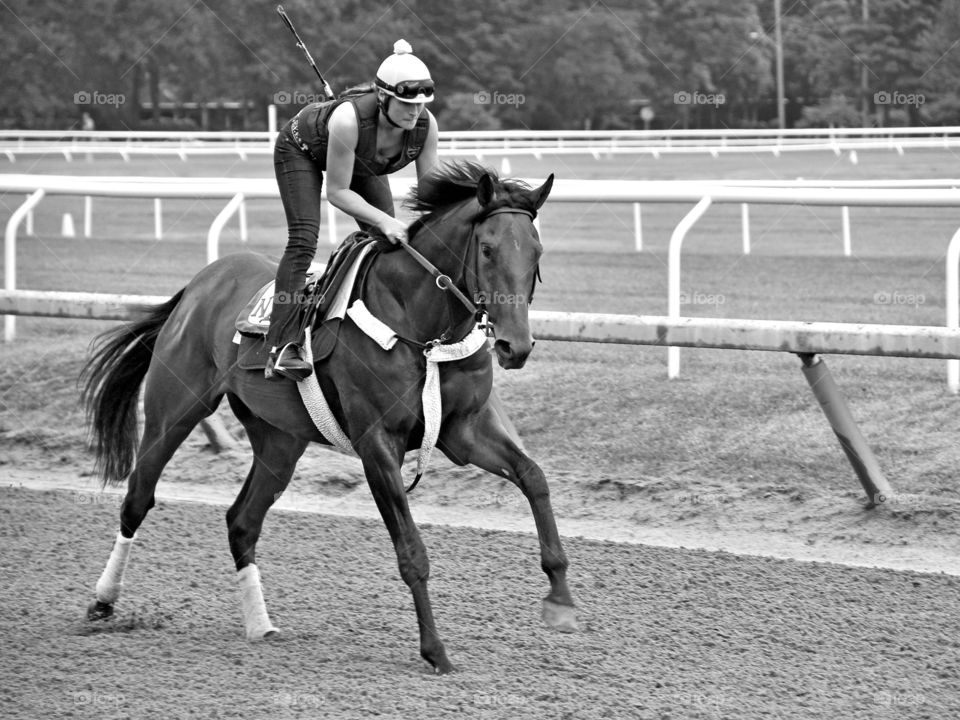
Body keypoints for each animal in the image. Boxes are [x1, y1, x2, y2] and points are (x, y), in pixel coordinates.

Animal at [79, 160, 576, 672]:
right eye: (488, 248)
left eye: (536, 251)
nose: (515, 346)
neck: (421, 327)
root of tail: (201, 283)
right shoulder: (377, 443)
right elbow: (412, 551)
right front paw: (435, 650)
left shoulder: (465, 429)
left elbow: (533, 476)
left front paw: (560, 599)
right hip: (174, 411)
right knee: (138, 498)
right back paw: (103, 602)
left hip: (280, 439)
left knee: (242, 522)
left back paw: (260, 624)